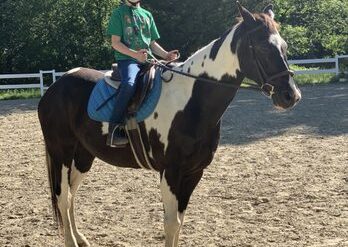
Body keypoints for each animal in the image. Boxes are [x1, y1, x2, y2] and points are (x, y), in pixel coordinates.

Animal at [36, 2, 300, 247]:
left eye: (284, 47)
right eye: (263, 47)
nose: (291, 96)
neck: (190, 100)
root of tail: (54, 87)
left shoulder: (194, 172)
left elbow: (179, 222)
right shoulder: (171, 172)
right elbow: (170, 222)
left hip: (83, 155)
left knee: (71, 195)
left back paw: (80, 237)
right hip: (61, 152)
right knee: (62, 196)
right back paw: (71, 240)